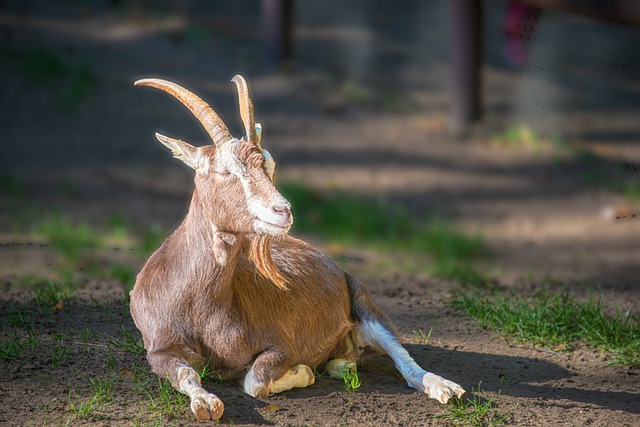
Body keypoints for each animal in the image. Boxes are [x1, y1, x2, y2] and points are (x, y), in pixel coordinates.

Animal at [130, 76, 468, 422]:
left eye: (269, 164)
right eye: (225, 170)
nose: (283, 210)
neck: (199, 305)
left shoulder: (282, 347)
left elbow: (254, 381)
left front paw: (303, 372)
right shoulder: (159, 349)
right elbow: (188, 373)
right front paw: (206, 403)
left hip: (366, 305)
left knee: (405, 360)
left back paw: (446, 389)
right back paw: (342, 365)